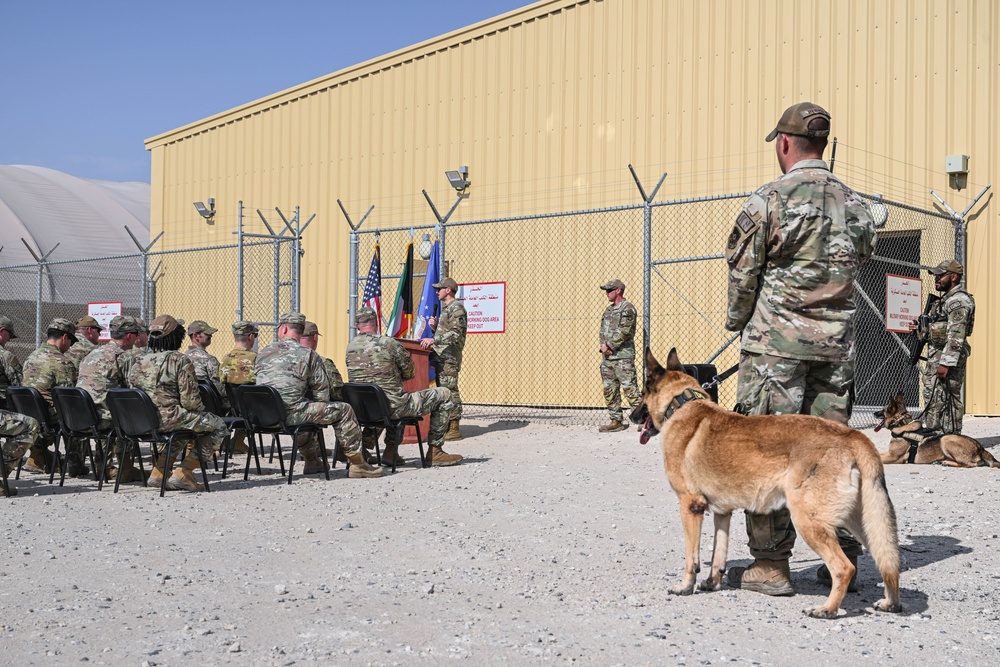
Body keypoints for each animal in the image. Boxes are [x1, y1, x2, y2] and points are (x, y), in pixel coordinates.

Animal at [632, 350, 908, 620]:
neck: (681, 403)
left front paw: (685, 586)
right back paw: (890, 602)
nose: (633, 416)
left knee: (844, 567)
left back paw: (827, 609)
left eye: (643, 394)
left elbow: (692, 556)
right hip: (862, 522)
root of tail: (853, 436)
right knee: (888, 559)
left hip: (809, 521)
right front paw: (712, 582)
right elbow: (718, 553)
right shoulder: (723, 512)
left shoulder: (690, 506)